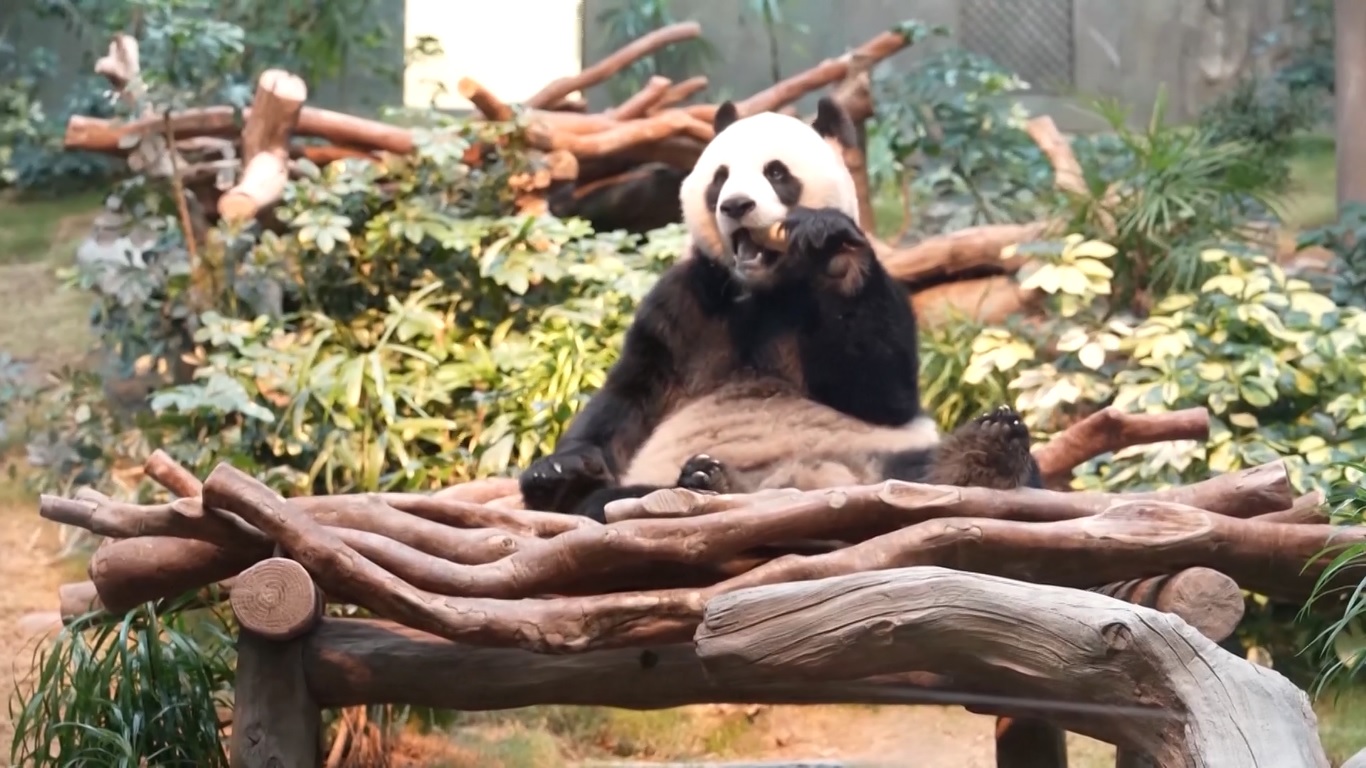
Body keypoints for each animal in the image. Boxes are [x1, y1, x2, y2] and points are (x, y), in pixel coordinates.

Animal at [518, 96, 1041, 522]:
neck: (762, 289)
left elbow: (883, 393)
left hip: (876, 459)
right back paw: (705, 481)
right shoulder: (683, 304)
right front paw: (559, 467)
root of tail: (801, 481)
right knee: (609, 499)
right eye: (720, 177)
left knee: (938, 467)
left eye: (776, 172)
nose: (736, 205)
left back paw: (985, 450)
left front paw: (831, 249)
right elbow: (628, 395)